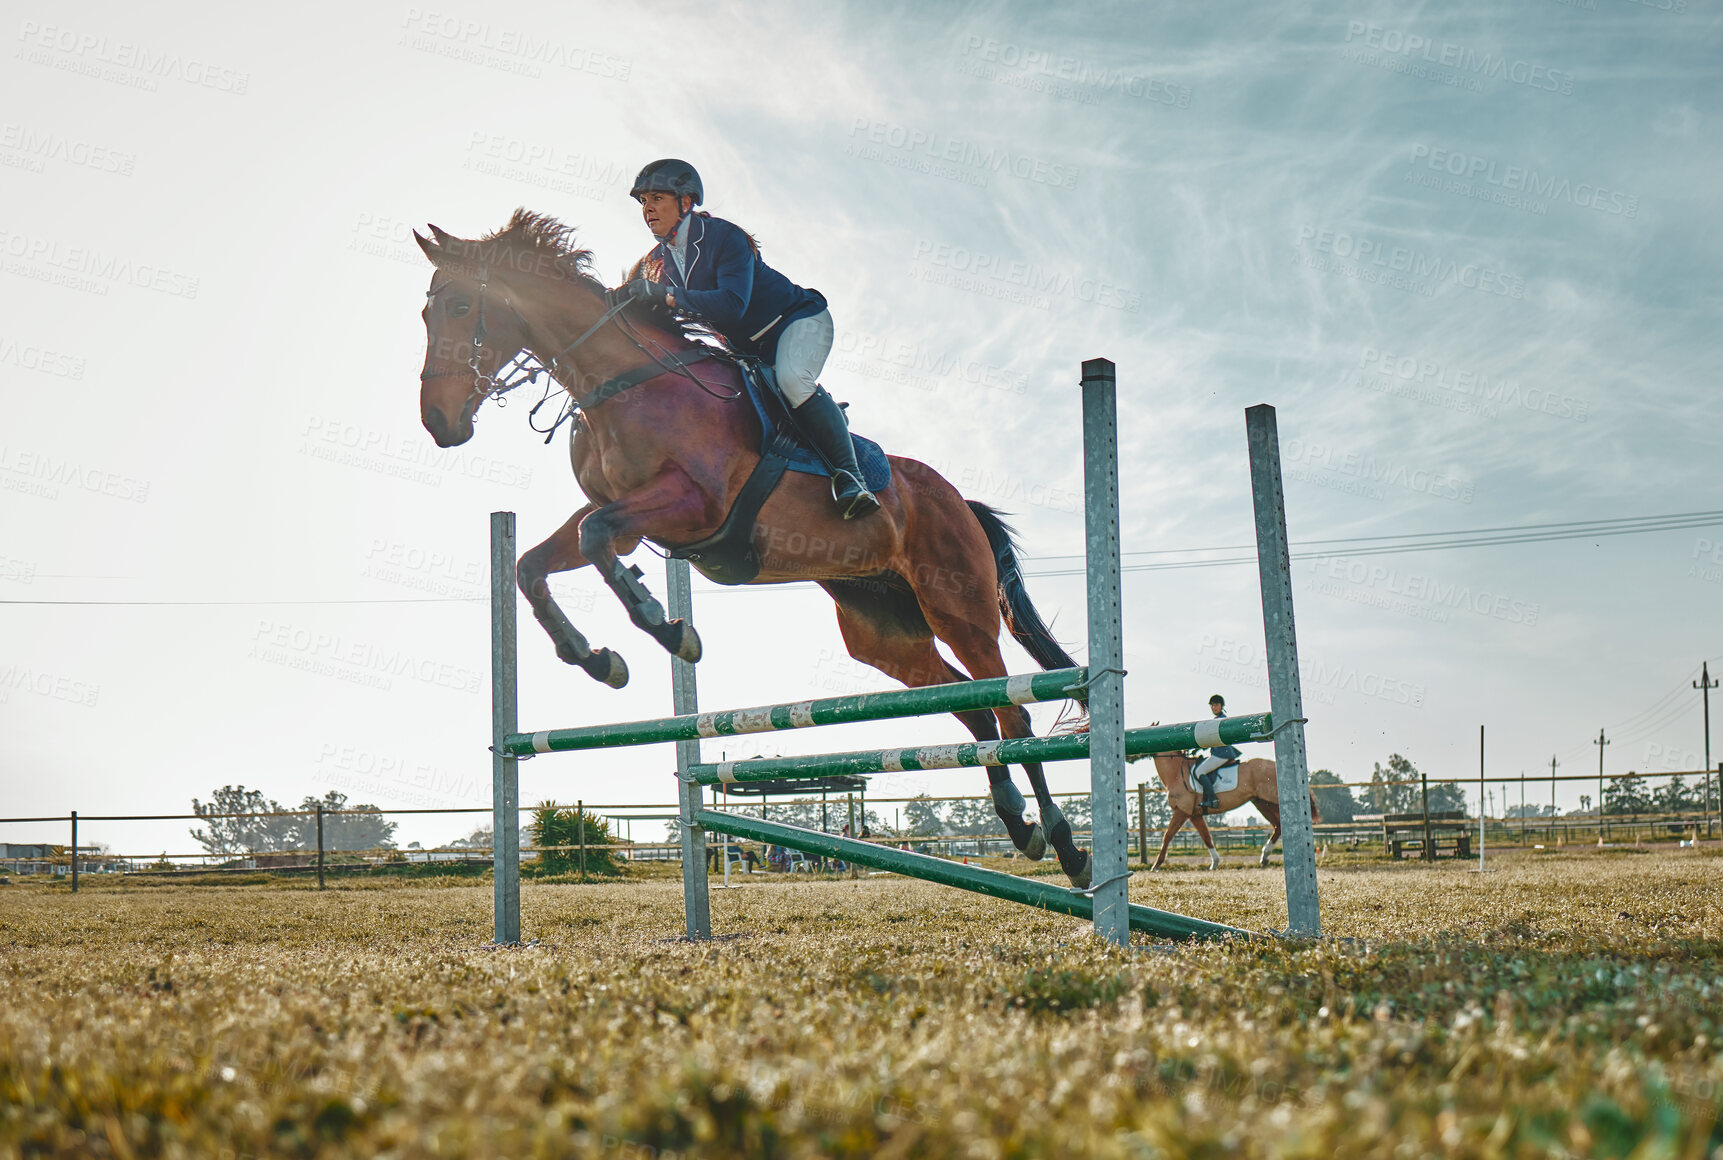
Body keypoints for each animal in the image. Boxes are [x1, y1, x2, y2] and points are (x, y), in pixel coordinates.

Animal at [408, 212, 1088, 889]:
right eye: (425, 314)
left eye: (462, 306)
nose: (439, 423)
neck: (621, 383)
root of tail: (960, 501)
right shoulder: (630, 517)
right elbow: (537, 564)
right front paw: (598, 659)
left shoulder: (694, 505)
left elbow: (595, 537)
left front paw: (669, 629)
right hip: (884, 635)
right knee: (975, 712)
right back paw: (1019, 825)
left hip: (958, 608)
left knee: (1014, 714)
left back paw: (1066, 847)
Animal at [1144, 751, 1316, 868]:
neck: (1175, 773)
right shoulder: (1194, 815)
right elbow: (1206, 837)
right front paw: (1214, 863)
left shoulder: (1182, 811)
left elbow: (1167, 836)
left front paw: (1156, 864)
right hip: (1261, 803)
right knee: (1278, 826)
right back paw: (1264, 857)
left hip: (1273, 801)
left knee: (1287, 825)